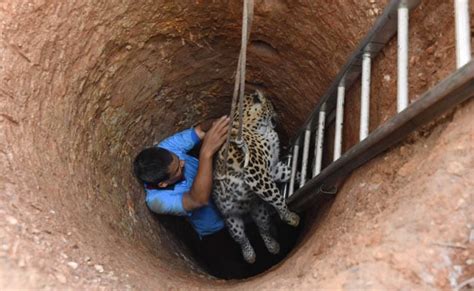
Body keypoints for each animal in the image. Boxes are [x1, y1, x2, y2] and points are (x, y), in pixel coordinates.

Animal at [212, 89, 298, 264]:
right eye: (272, 105)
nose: (278, 115)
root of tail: (245, 210)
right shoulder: (256, 173)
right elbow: (277, 198)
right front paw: (289, 216)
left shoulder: (271, 169)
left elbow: (287, 172)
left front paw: (299, 174)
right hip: (232, 220)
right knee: (242, 238)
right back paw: (249, 255)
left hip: (259, 210)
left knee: (263, 228)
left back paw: (273, 246)